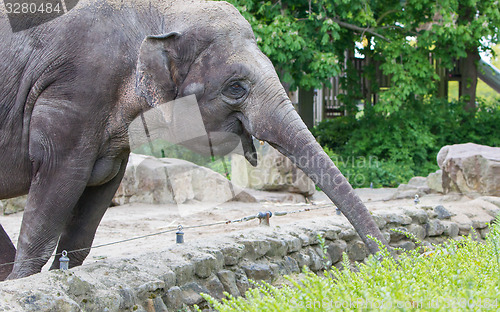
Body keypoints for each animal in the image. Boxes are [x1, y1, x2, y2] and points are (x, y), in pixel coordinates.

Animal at [0, 0, 386, 282]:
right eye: (235, 88)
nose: (391, 265)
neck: (158, 11)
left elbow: (97, 196)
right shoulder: (75, 90)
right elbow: (59, 177)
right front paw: (25, 283)